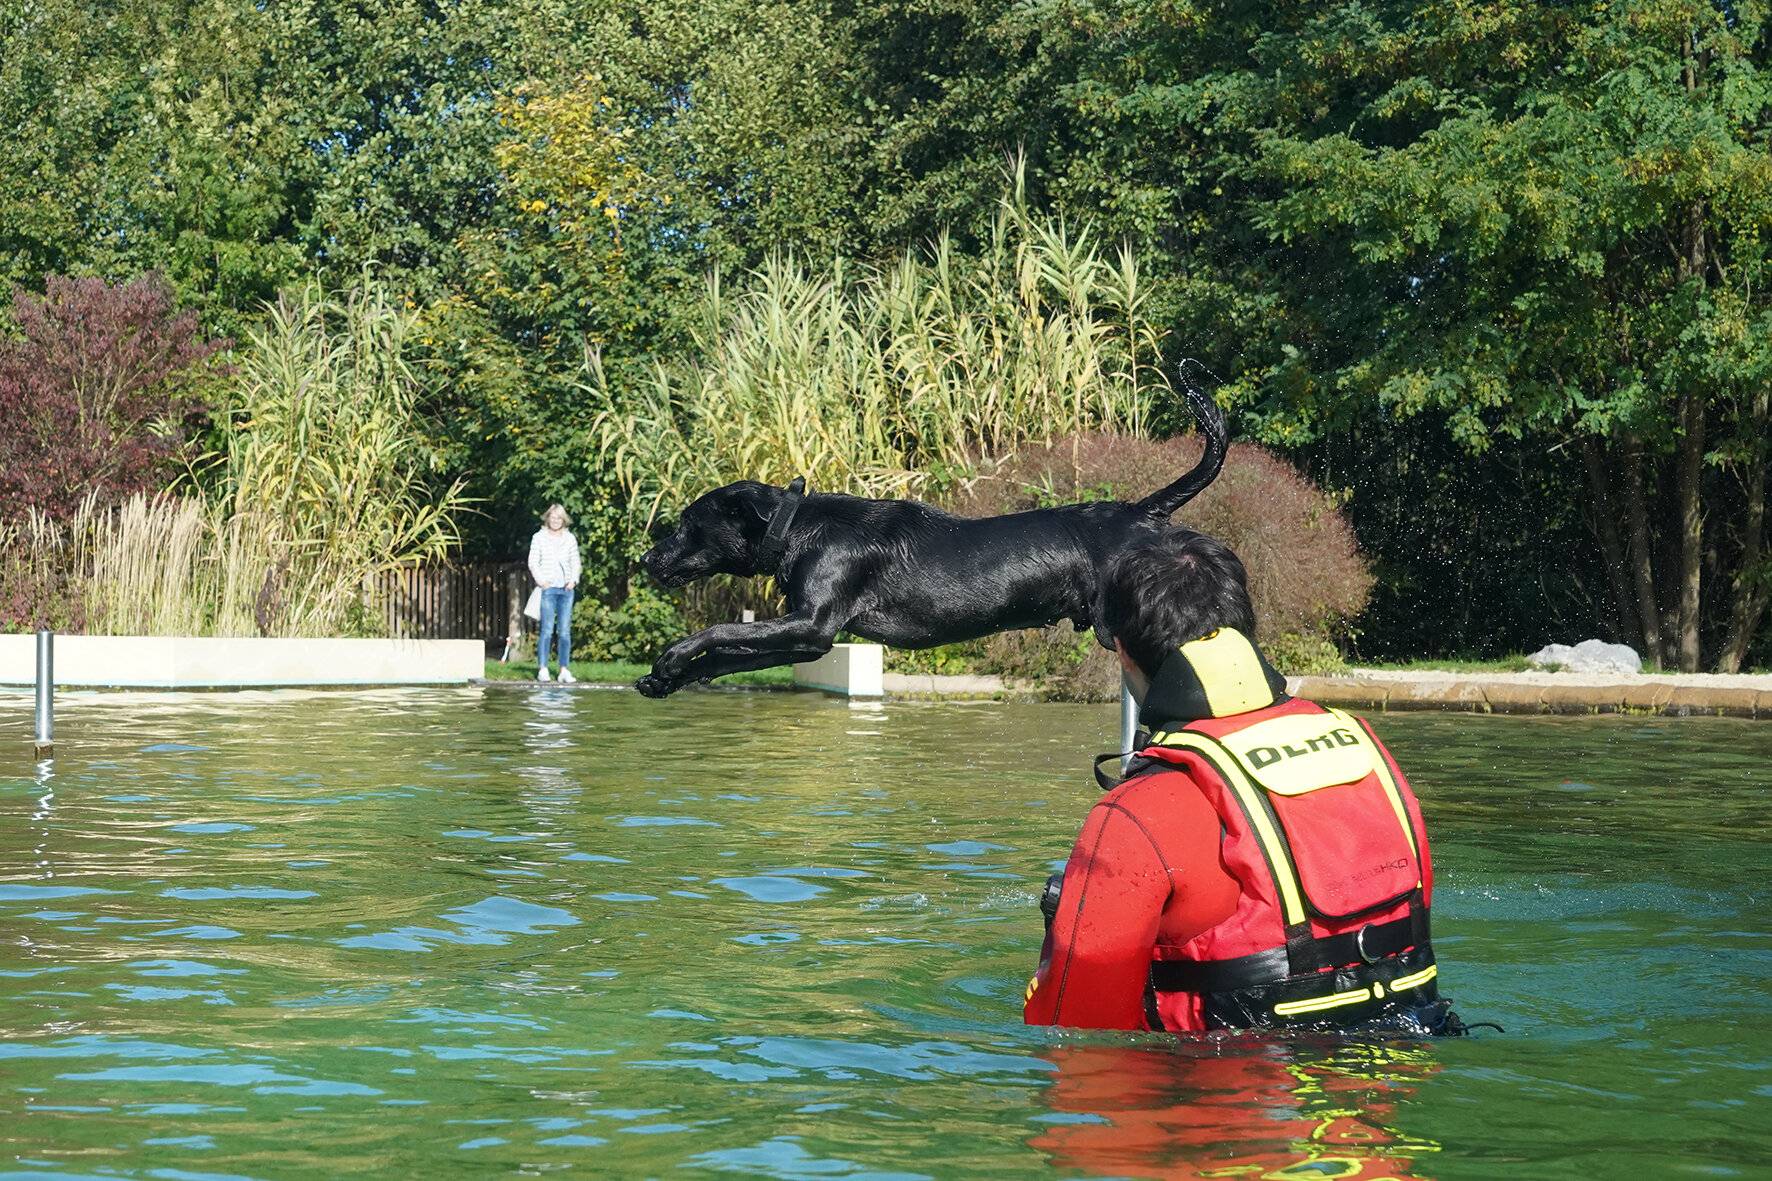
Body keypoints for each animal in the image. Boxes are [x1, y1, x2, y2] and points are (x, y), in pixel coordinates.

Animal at [637, 358, 1233, 691]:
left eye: (687, 523)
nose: (646, 559)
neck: (797, 529)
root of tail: (1142, 510)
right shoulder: (806, 641)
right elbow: (730, 654)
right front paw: (665, 678)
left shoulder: (813, 624)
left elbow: (718, 631)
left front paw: (671, 656)